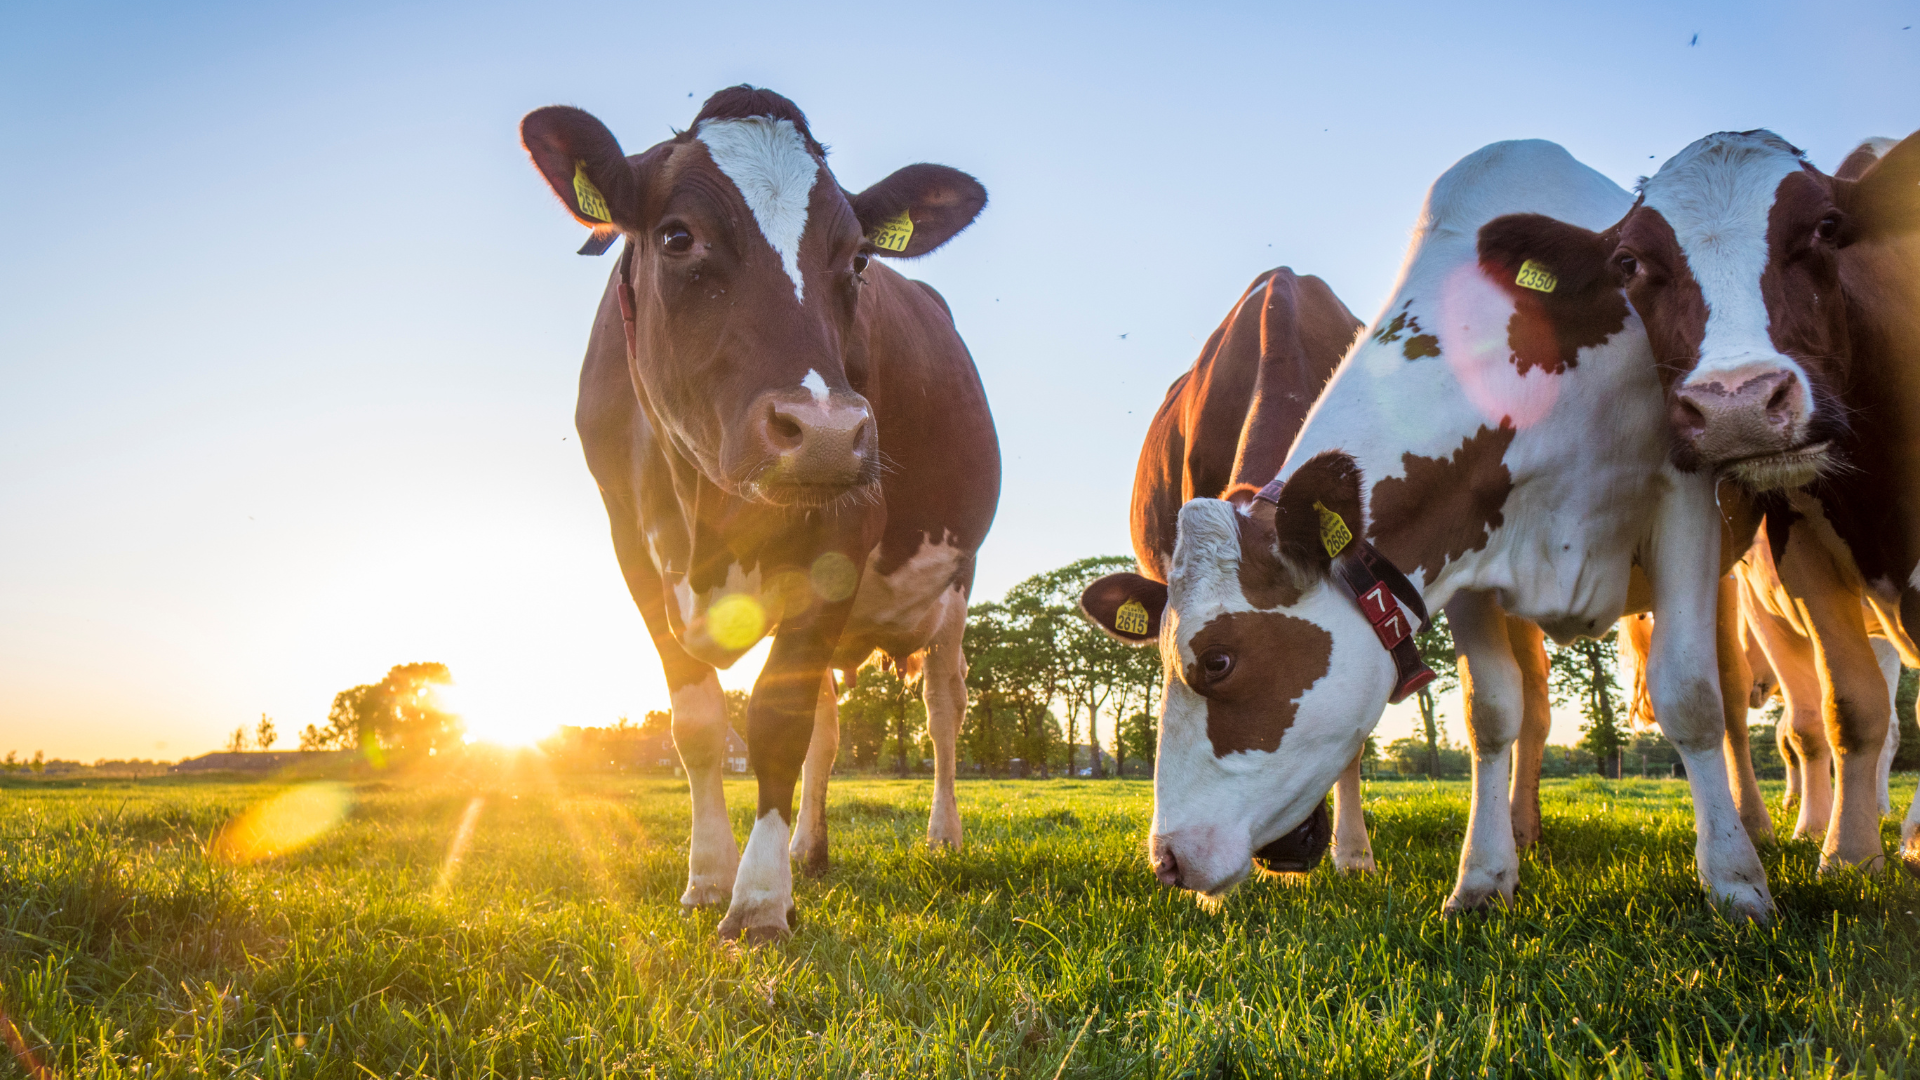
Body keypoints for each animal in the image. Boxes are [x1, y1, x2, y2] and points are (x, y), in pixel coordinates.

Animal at [526, 88, 1006, 937]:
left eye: (858, 259)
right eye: (677, 236)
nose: (826, 431)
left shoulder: (847, 532)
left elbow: (777, 724)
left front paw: (756, 903)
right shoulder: (632, 548)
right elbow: (699, 723)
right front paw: (709, 877)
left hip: (955, 581)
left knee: (943, 706)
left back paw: (941, 837)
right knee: (829, 724)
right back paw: (809, 850)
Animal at [1082, 138, 1766, 914]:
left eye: (1219, 660)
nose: (1168, 860)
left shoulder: (1685, 491)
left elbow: (1691, 694)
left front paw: (1736, 882)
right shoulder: (1467, 550)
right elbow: (1491, 711)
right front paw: (1483, 878)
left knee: (1731, 689)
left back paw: (1765, 828)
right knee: (1535, 703)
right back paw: (1523, 829)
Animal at [1482, 127, 1920, 864]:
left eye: (1827, 227)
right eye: (1629, 262)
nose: (1736, 404)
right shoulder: (1803, 551)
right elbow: (1848, 710)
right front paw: (1849, 854)